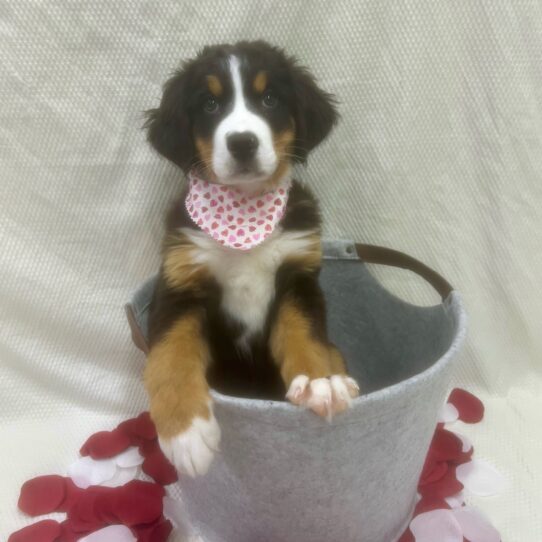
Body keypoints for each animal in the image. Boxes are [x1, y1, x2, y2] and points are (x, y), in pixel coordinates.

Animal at [143, 40, 362, 478]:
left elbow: (305, 334)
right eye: (210, 104)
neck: (244, 213)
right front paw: (186, 433)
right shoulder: (179, 283)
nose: (242, 142)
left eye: (270, 99)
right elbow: (171, 354)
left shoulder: (298, 277)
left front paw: (319, 382)